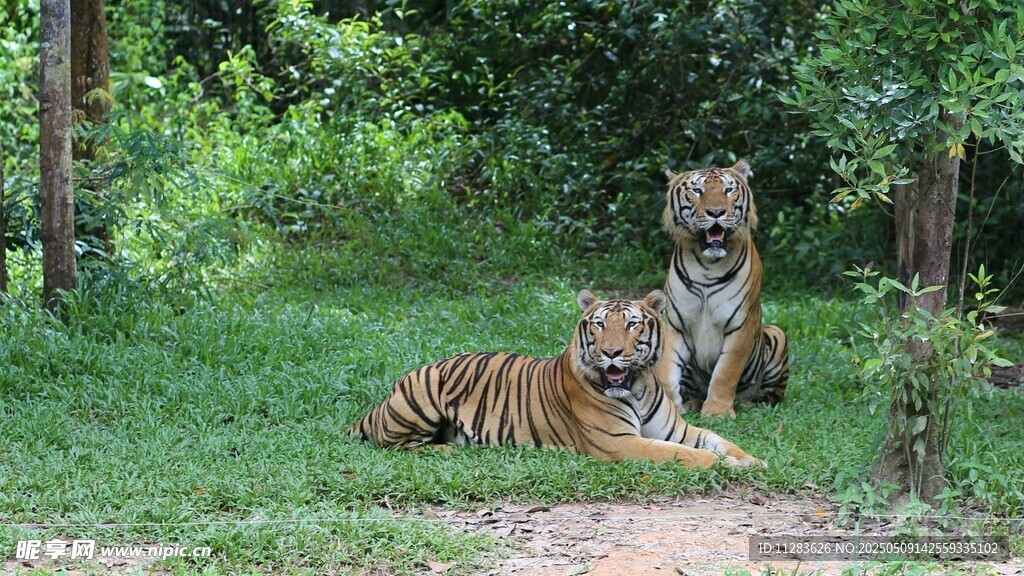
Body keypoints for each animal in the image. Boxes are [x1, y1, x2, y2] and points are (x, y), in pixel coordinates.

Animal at [354, 289, 762, 468]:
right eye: (599, 325)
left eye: (632, 324)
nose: (611, 352)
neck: (638, 387)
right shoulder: (620, 443)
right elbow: (685, 455)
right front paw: (726, 467)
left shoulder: (678, 429)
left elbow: (718, 440)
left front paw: (753, 461)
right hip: (422, 392)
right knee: (395, 445)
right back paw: (448, 450)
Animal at [657, 159, 789, 418]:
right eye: (697, 190)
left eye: (728, 190)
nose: (716, 212)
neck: (707, 265)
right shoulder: (676, 324)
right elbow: (667, 371)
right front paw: (669, 408)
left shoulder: (740, 325)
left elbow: (725, 372)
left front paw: (717, 412)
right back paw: (693, 403)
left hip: (778, 335)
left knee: (770, 397)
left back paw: (747, 404)